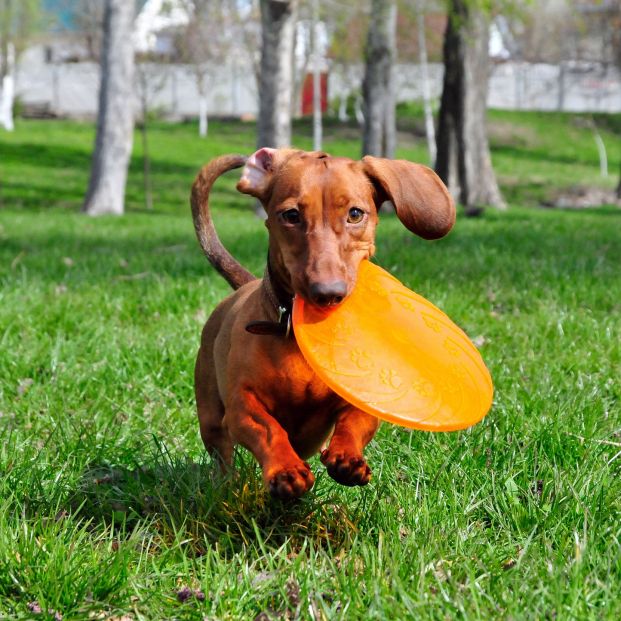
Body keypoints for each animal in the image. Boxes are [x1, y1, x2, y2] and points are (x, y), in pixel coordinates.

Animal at [186, 149, 452, 498]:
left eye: (355, 214)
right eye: (291, 215)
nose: (327, 293)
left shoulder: (359, 403)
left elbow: (353, 423)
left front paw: (348, 459)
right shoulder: (242, 408)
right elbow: (270, 430)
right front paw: (286, 470)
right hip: (211, 418)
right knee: (222, 455)